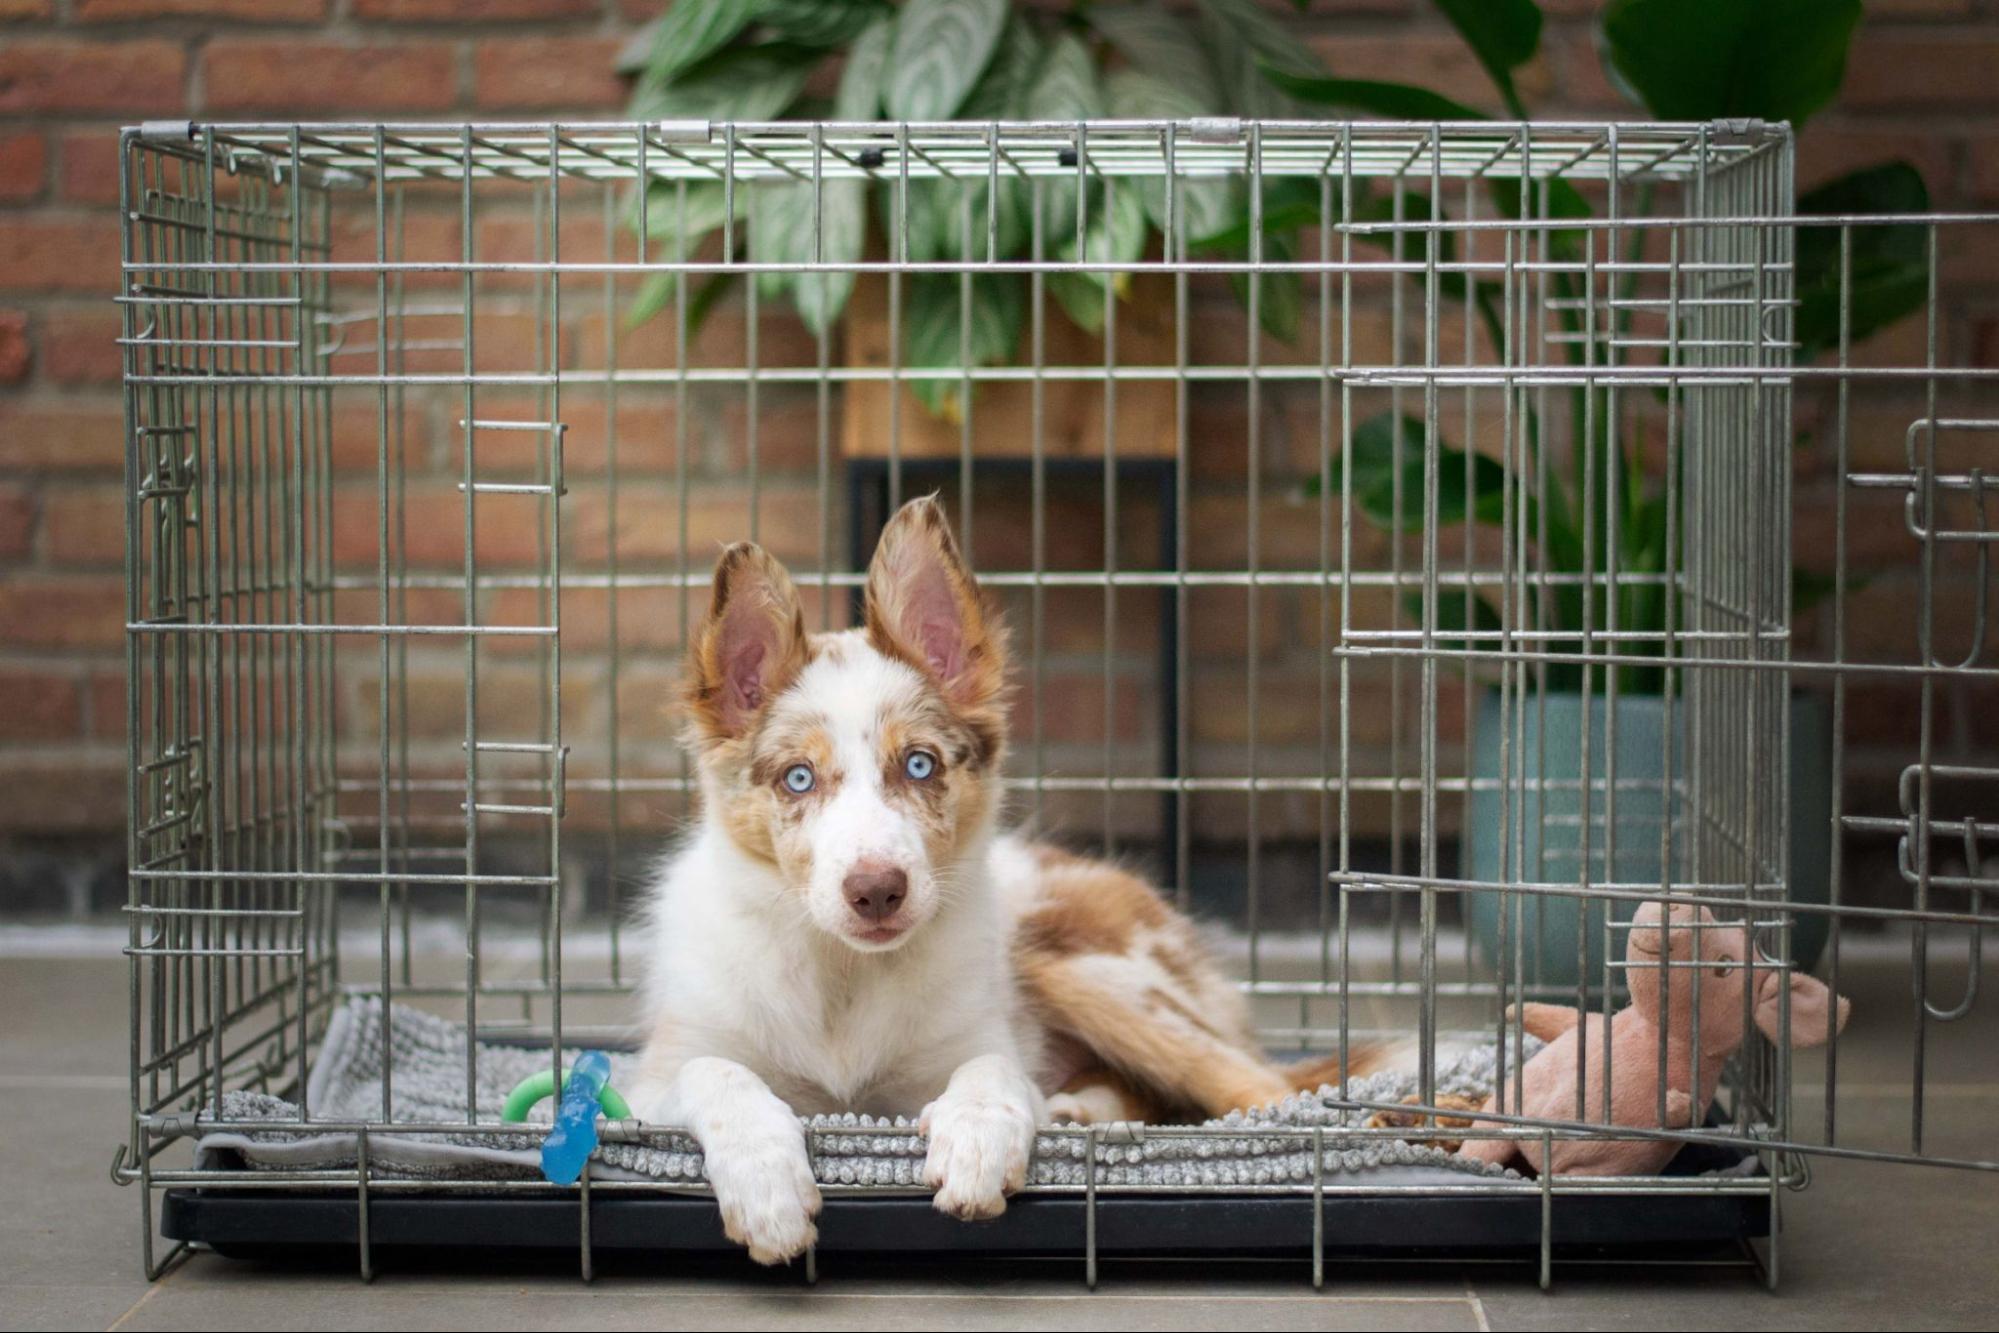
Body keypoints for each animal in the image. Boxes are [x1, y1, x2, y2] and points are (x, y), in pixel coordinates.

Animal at [631, 495, 1399, 1271]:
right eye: (797, 778)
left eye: (919, 764)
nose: (876, 891)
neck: (843, 977)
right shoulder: (649, 1083)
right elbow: (718, 1073)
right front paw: (767, 1187)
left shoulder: (974, 1041)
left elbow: (992, 1070)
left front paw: (974, 1142)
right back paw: (1080, 1110)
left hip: (1084, 964)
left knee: (1258, 1088)